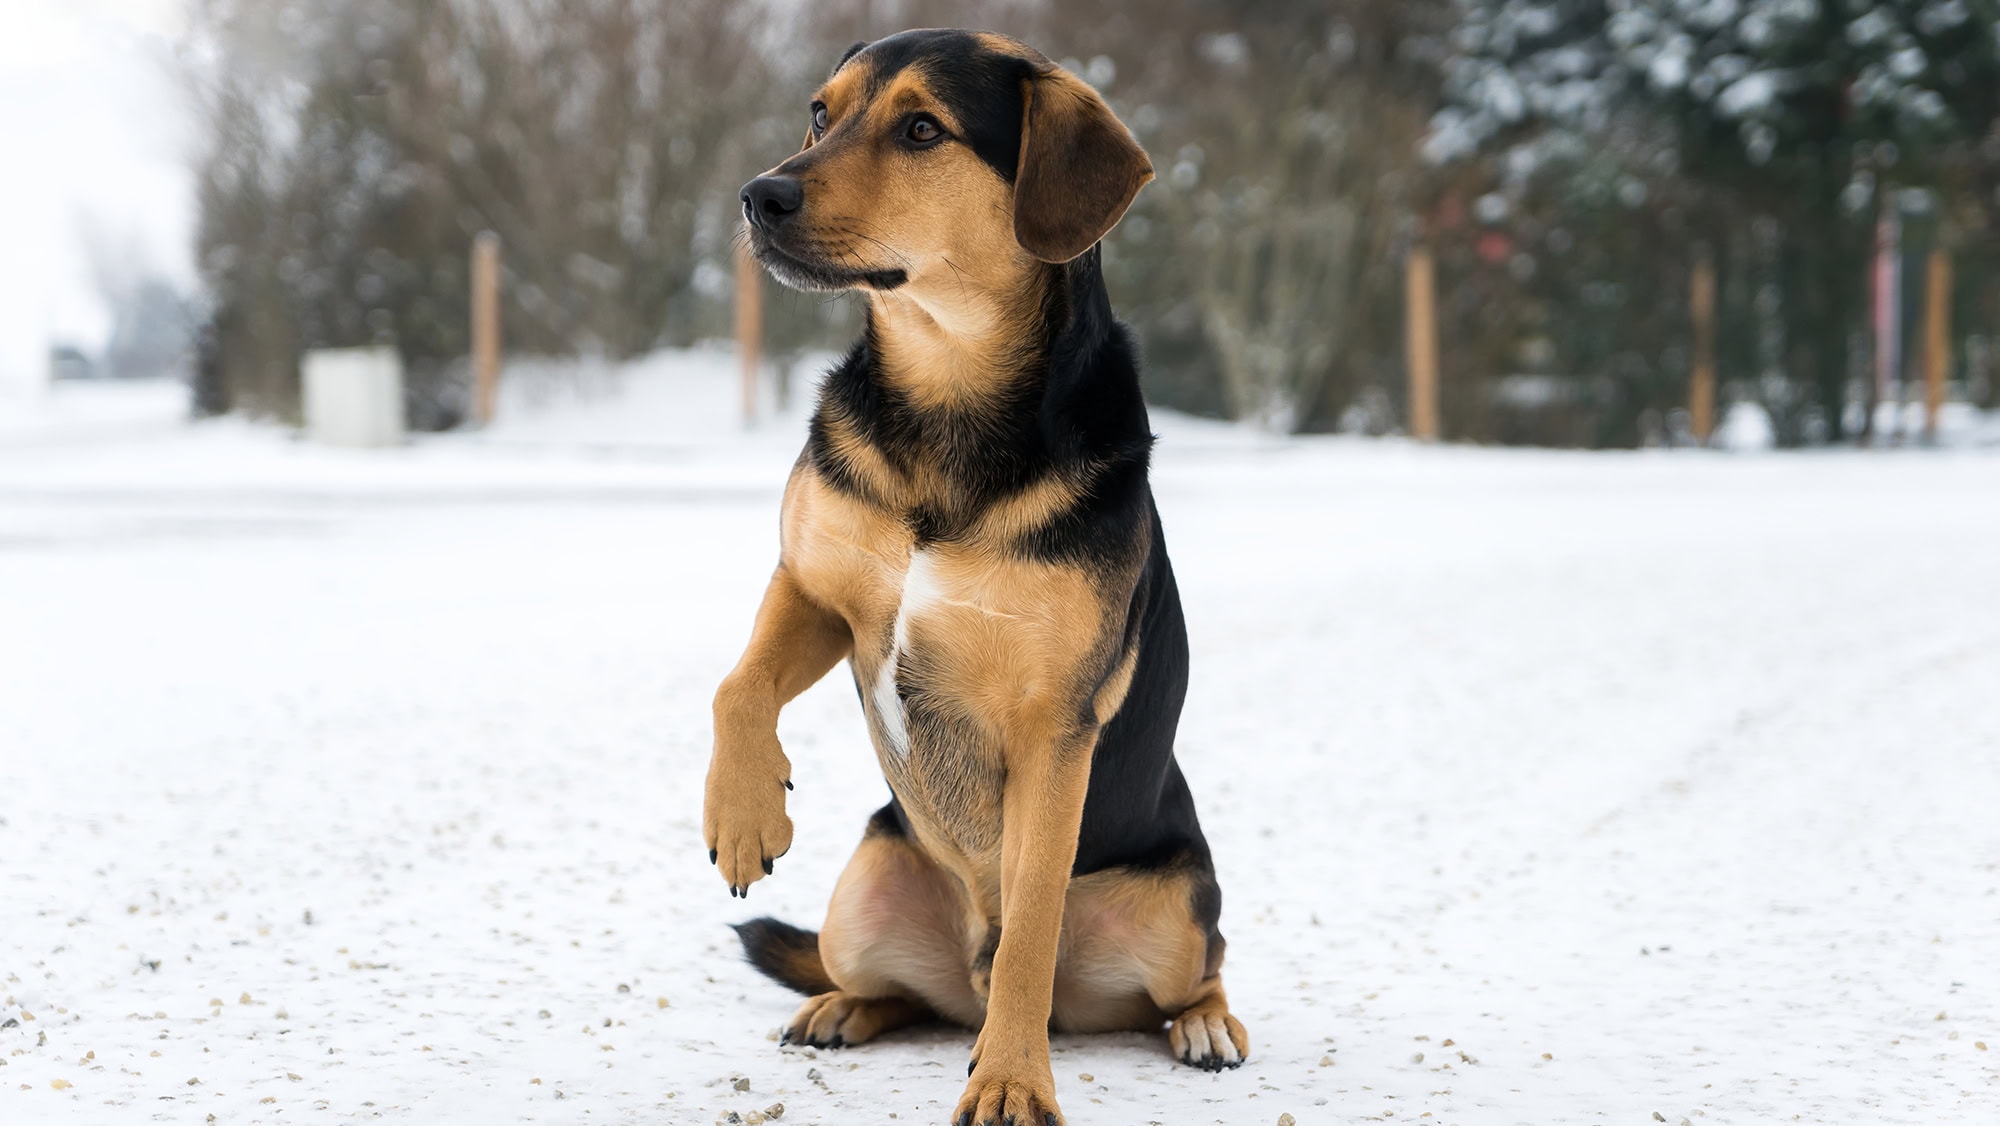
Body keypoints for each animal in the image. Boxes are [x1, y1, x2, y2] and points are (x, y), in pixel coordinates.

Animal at [696, 26, 1240, 1126]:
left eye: (921, 130)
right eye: (819, 114)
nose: (758, 195)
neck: (945, 395)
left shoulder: (1052, 729)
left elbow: (1031, 926)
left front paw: (1012, 1082)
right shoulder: (818, 589)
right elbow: (738, 684)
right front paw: (744, 815)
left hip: (1175, 904)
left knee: (1187, 971)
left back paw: (1202, 1026)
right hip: (861, 896)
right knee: (895, 991)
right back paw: (839, 1006)